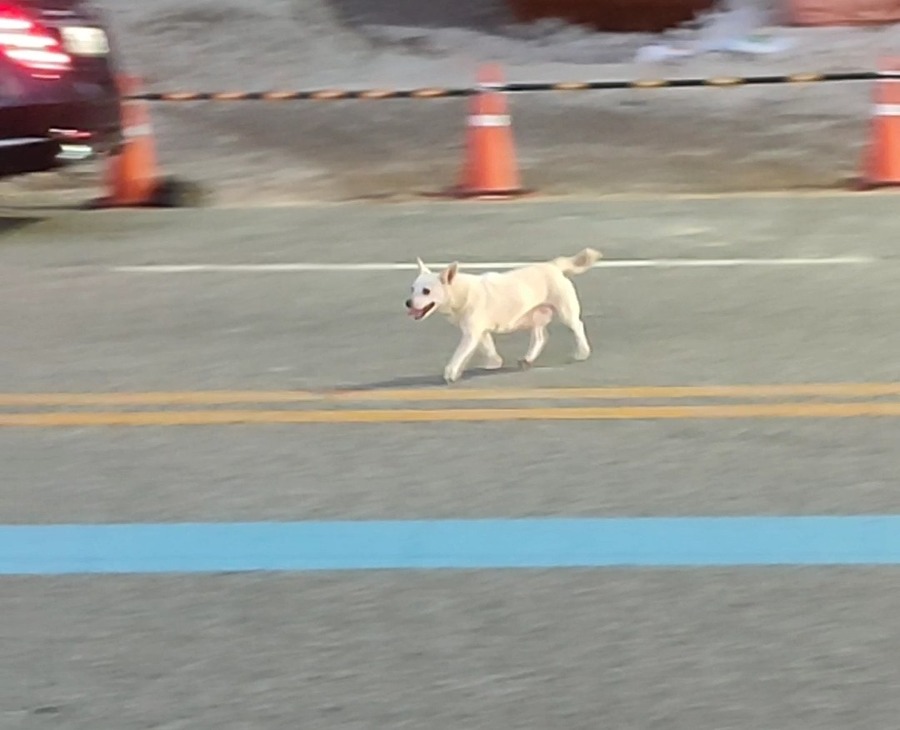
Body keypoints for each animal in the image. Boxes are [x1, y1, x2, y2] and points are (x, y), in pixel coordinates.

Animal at [404, 247, 600, 382]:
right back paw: (527, 359)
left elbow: (459, 354)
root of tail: (552, 265)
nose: (408, 303)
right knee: (540, 337)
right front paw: (494, 362)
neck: (460, 291)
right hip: (533, 316)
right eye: (412, 289)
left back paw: (582, 352)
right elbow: (487, 347)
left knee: (577, 327)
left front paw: (451, 372)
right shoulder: (479, 332)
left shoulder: (471, 334)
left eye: (426, 291)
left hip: (566, 312)